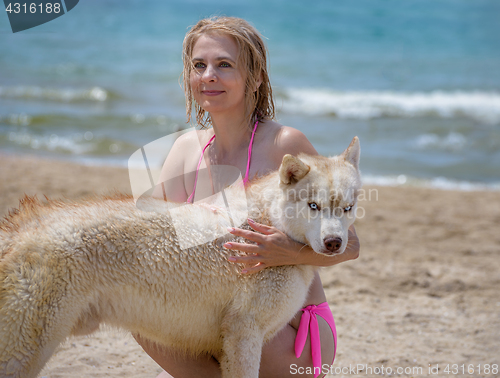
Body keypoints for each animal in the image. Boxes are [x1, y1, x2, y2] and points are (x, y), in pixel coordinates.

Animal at [0, 137, 360, 376]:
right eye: (313, 206)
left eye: (347, 208)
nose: (334, 243)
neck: (270, 222)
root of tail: (18, 228)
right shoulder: (244, 335)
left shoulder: (232, 342)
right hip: (25, 350)